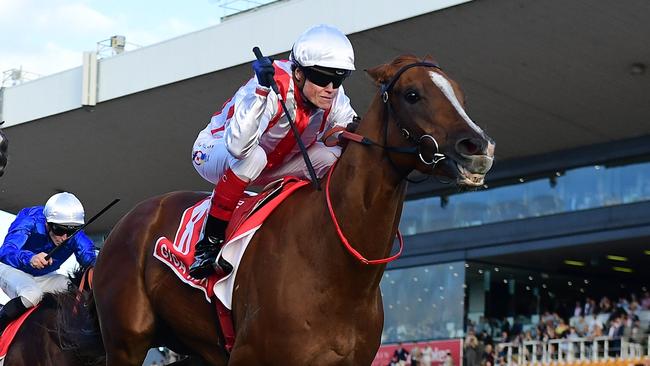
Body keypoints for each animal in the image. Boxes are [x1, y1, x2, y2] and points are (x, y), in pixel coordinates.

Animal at [93, 55, 494, 366]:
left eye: (459, 94)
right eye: (412, 94)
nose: (479, 147)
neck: (334, 262)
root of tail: (127, 221)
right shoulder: (249, 356)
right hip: (126, 342)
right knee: (248, 159)